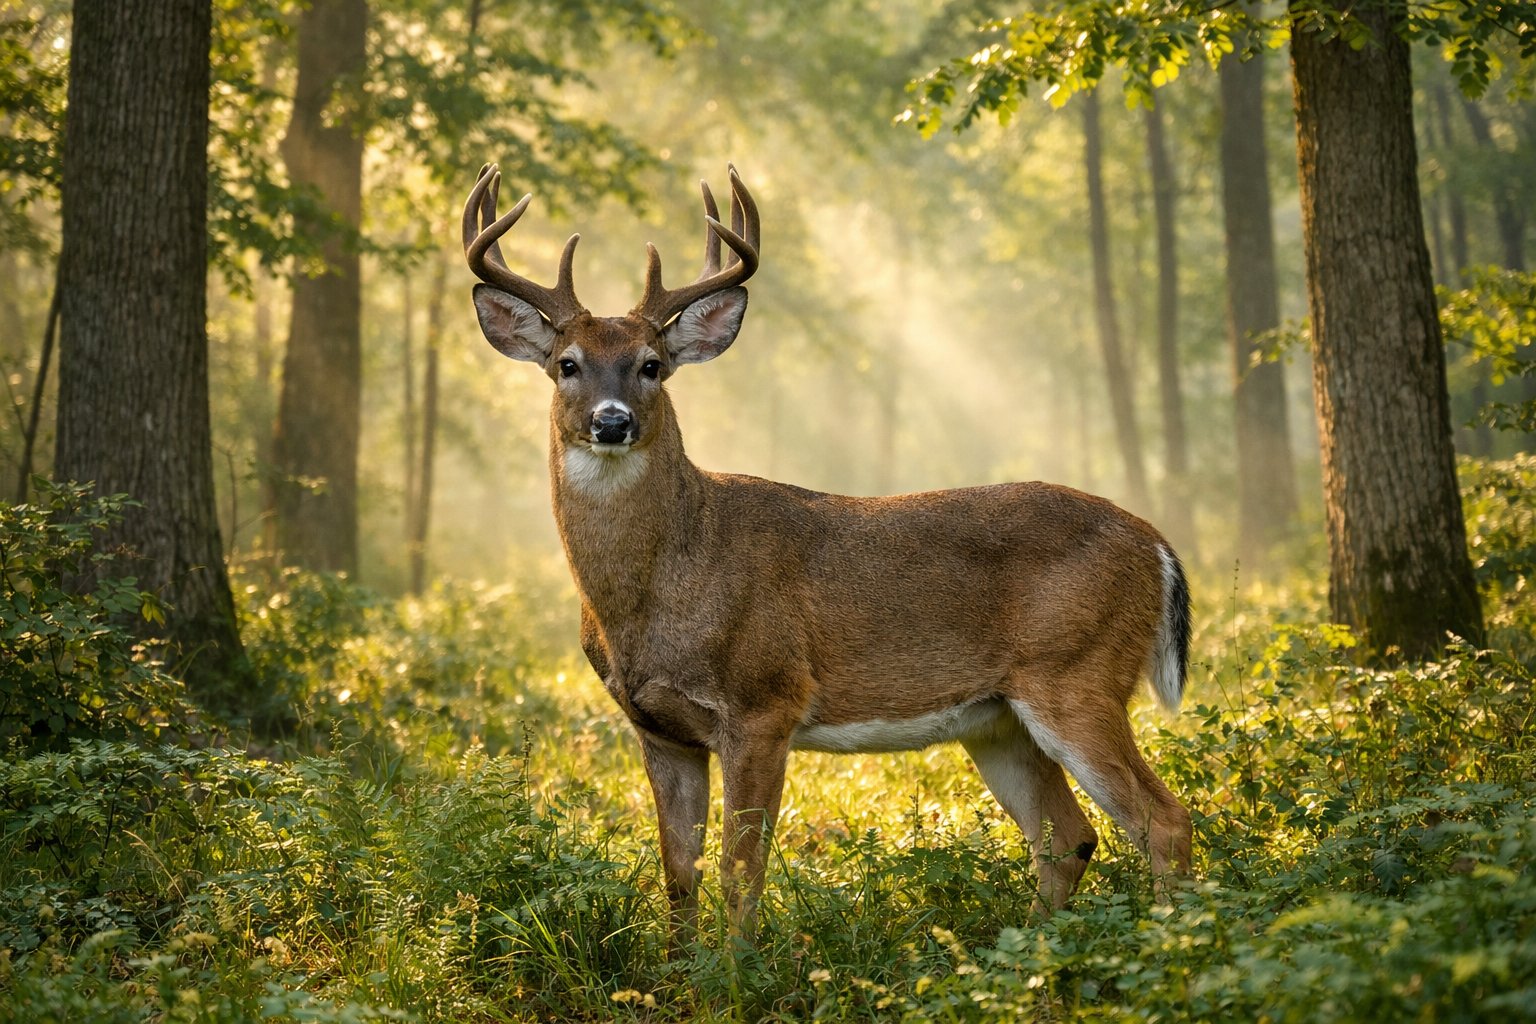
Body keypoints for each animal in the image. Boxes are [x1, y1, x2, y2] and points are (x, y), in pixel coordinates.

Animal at [461, 162, 1193, 937]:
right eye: (567, 364)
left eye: (651, 364)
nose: (612, 422)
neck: (658, 590)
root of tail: (1155, 543)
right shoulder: (658, 728)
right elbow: (678, 875)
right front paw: (680, 967)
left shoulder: (764, 701)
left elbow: (741, 872)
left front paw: (739, 967)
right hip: (998, 719)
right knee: (1067, 837)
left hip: (1078, 674)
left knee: (1164, 823)